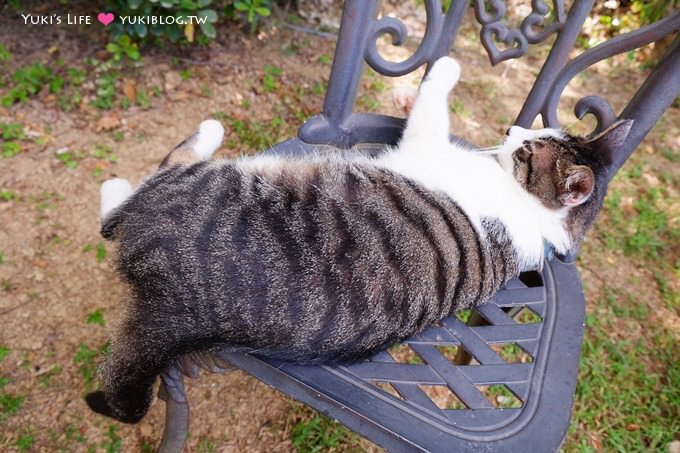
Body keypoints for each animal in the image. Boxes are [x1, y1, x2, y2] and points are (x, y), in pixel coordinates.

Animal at [83, 57, 632, 424]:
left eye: (529, 149)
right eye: (536, 134)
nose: (513, 127)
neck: (535, 216)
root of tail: (178, 309)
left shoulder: (425, 143)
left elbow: (433, 102)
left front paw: (445, 65)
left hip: (209, 182)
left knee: (129, 203)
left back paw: (158, 160)